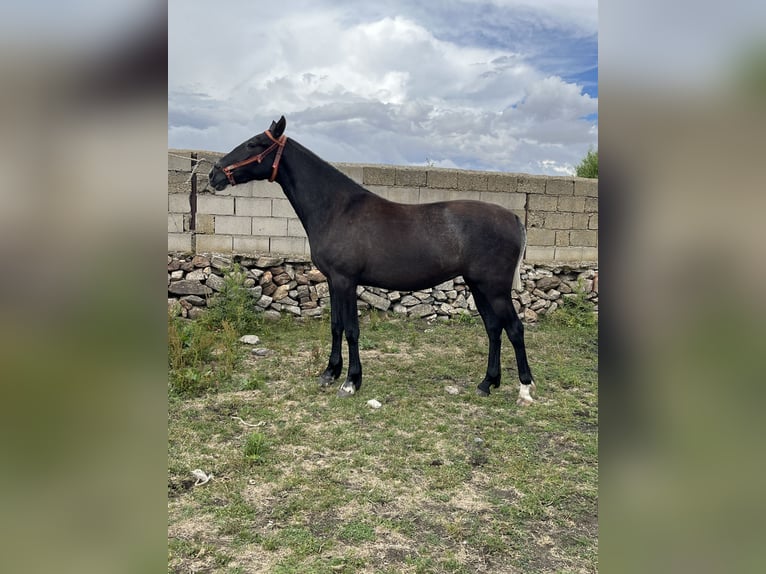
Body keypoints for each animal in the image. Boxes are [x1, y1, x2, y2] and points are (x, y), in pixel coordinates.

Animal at [207, 116, 536, 404]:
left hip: (494, 289)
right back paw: (487, 383)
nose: (213, 174)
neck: (337, 208)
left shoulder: (346, 280)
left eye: (255, 143)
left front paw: (351, 382)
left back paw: (524, 389)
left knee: (515, 329)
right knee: (493, 329)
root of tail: (514, 218)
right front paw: (329, 373)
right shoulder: (333, 281)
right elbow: (336, 325)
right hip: (478, 286)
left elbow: (352, 329)